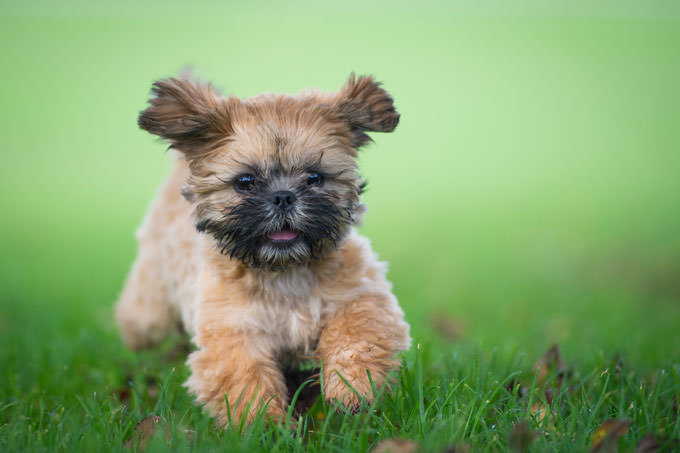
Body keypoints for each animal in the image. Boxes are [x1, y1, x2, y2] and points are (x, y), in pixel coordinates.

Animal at [115, 73, 410, 424]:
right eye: (245, 181)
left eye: (314, 177)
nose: (283, 196)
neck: (284, 271)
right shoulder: (233, 331)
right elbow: (246, 379)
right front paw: (264, 423)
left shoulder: (360, 296)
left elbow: (358, 337)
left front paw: (352, 390)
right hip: (151, 311)